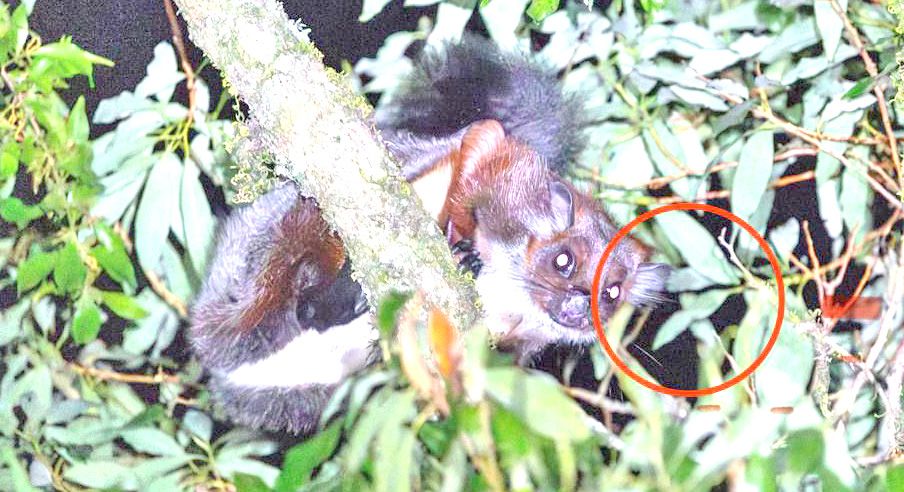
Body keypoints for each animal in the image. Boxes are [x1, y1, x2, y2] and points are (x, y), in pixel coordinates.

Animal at [190, 37, 670, 434]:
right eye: (564, 261)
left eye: (611, 294)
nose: (578, 308)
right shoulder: (499, 168)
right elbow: (472, 150)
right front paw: (464, 251)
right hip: (271, 245)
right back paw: (335, 292)